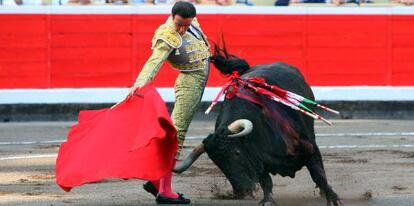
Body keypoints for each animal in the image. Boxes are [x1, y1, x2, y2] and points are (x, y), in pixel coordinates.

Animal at [173, 61, 342, 206]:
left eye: (237, 153)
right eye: (217, 162)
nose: (242, 192)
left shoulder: (308, 148)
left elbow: (319, 175)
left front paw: (333, 199)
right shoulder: (258, 159)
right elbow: (266, 181)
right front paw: (267, 201)